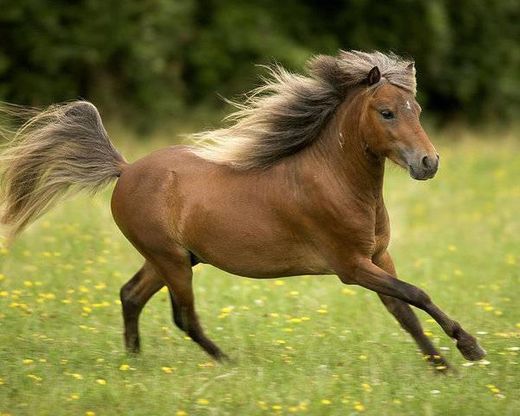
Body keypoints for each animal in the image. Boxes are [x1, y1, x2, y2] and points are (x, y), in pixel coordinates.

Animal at [1, 50, 488, 368]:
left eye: (417, 109)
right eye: (386, 112)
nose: (428, 163)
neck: (337, 181)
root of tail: (124, 170)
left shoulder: (378, 257)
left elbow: (405, 312)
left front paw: (443, 362)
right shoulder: (350, 266)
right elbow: (416, 295)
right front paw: (469, 348)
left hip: (171, 258)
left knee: (131, 295)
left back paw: (133, 362)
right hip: (171, 260)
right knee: (183, 316)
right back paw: (227, 362)